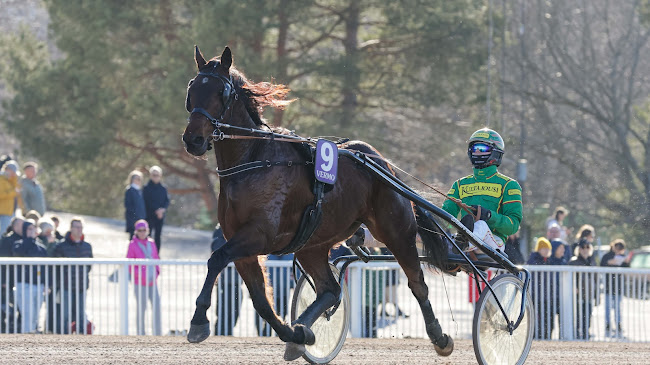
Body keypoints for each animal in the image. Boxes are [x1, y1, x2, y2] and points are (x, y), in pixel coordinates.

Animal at [182, 46, 454, 358]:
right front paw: (295, 333)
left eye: (221, 92)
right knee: (329, 290)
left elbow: (216, 259)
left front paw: (198, 320)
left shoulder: (258, 234)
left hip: (397, 232)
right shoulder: (241, 243)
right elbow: (261, 300)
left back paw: (439, 336)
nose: (193, 139)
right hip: (311, 245)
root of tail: (382, 164)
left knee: (417, 283)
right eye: (193, 89)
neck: (253, 160)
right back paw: (303, 328)